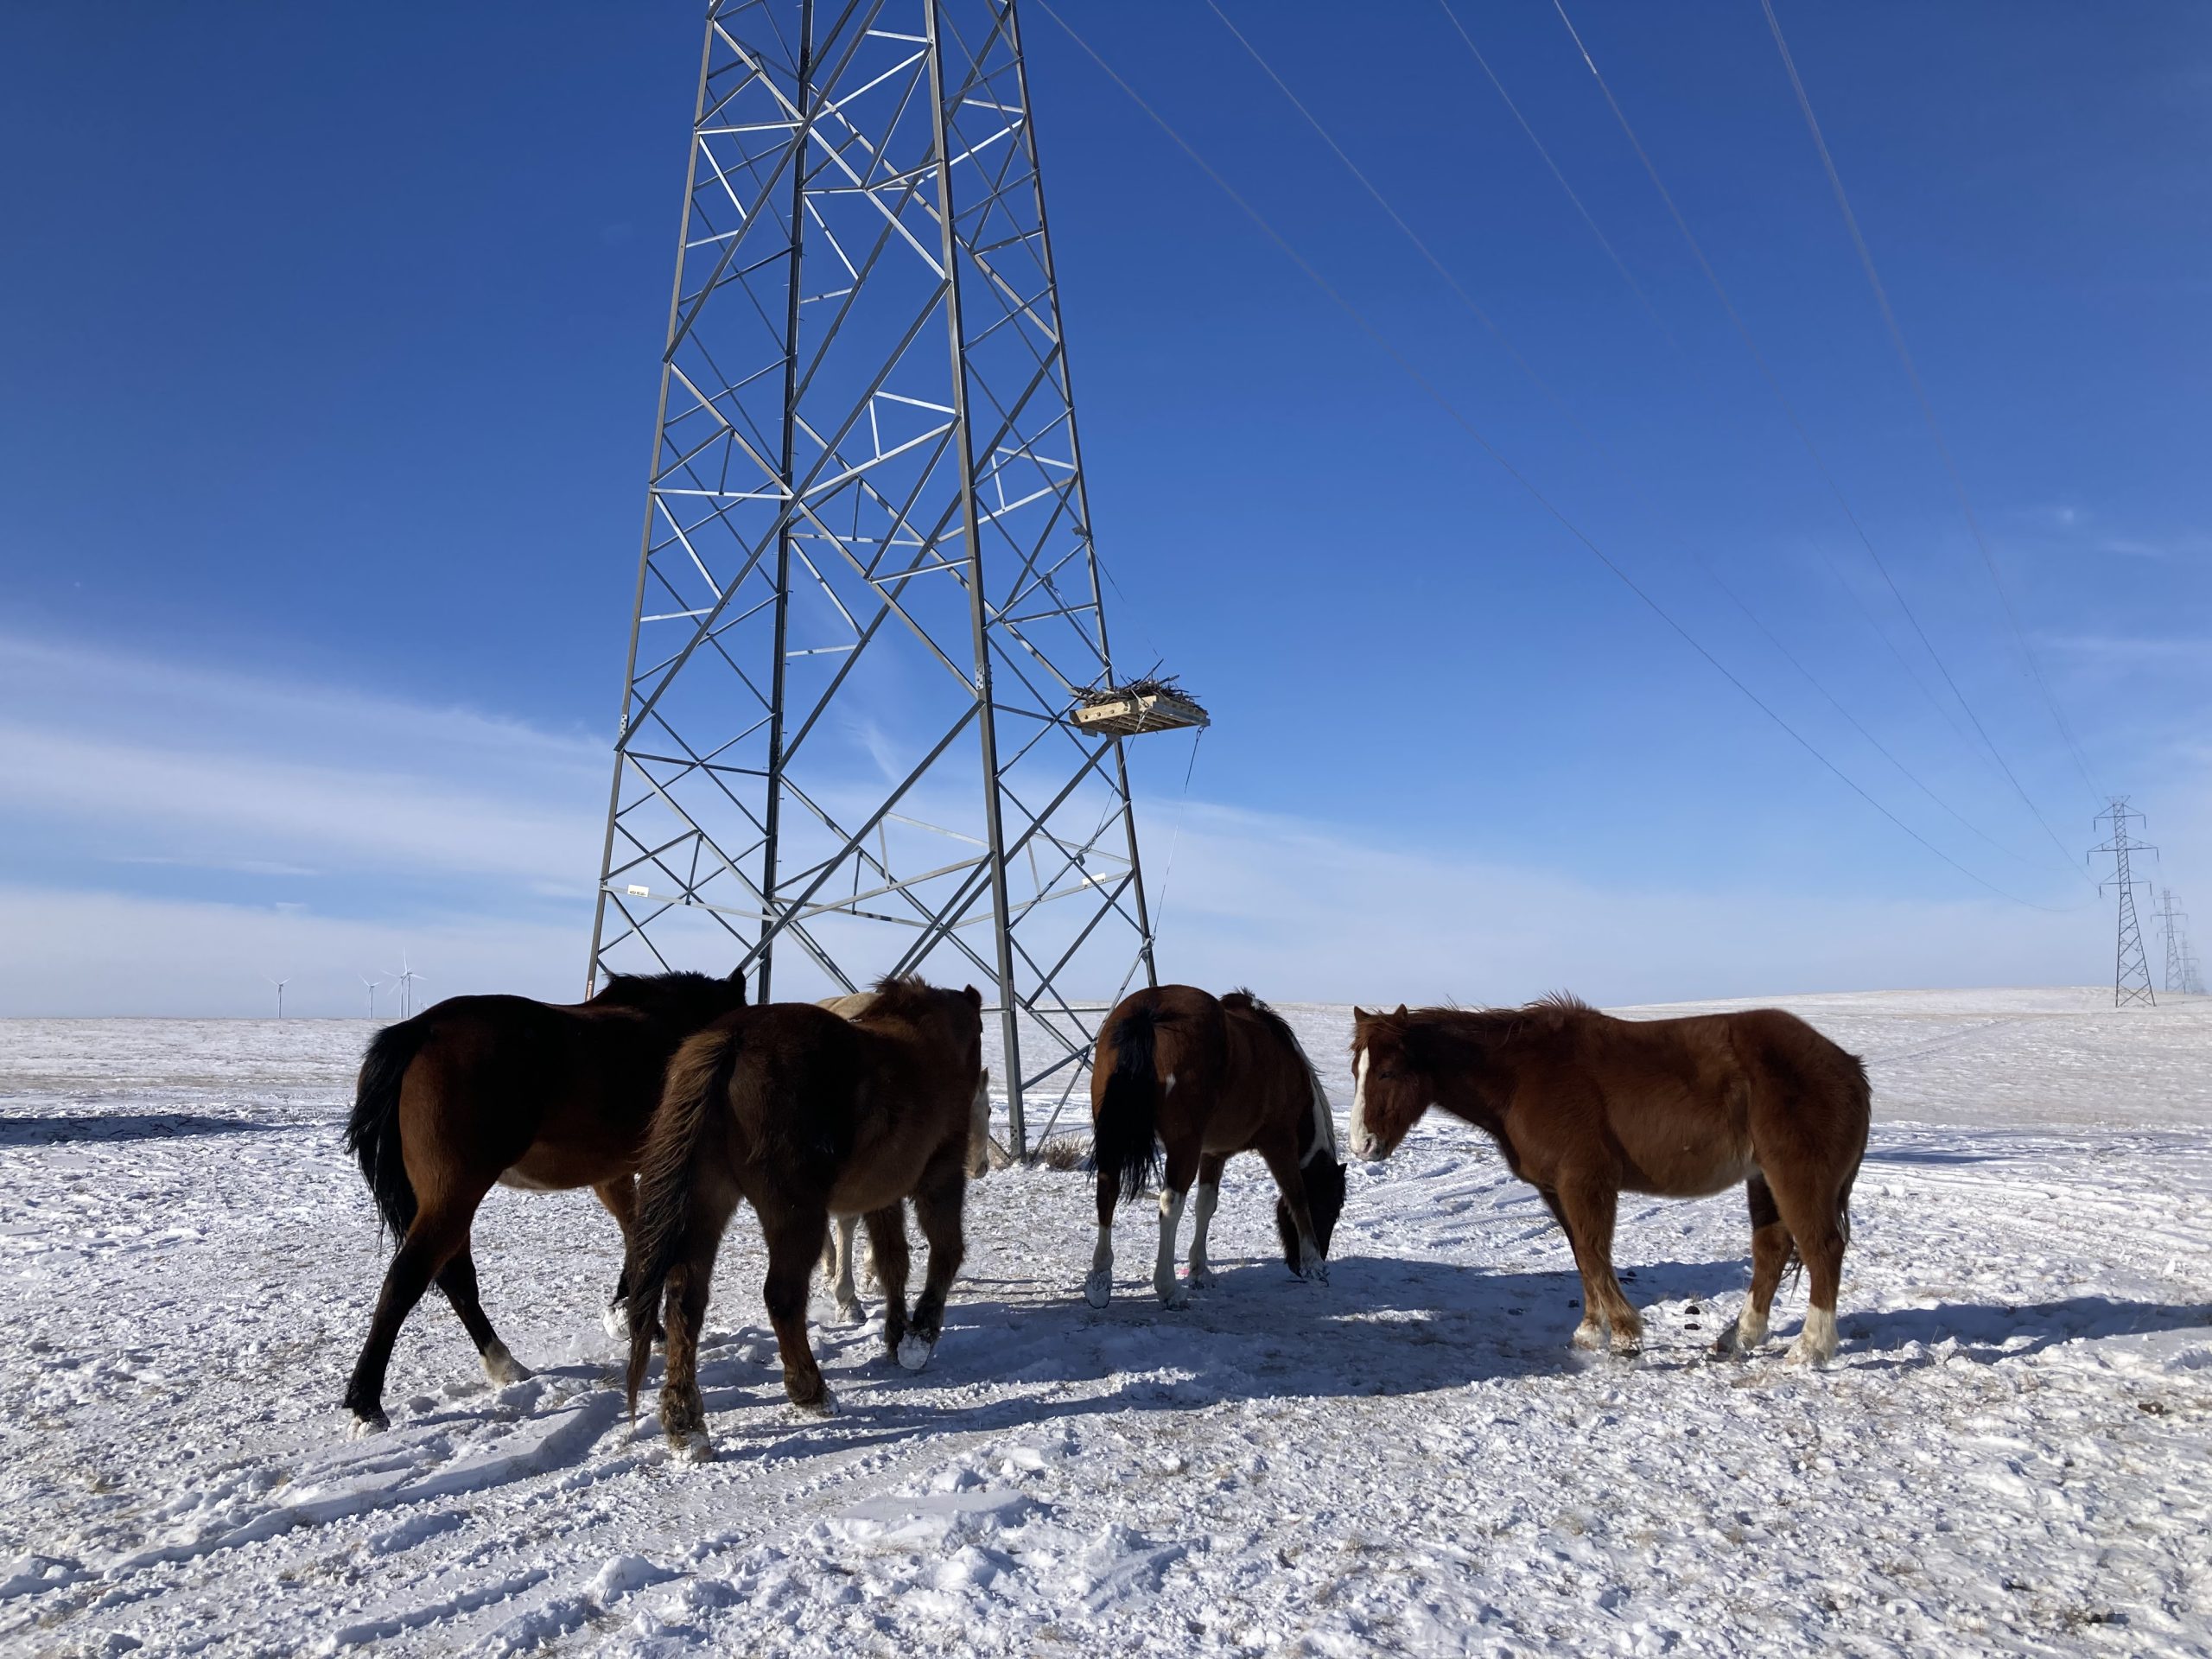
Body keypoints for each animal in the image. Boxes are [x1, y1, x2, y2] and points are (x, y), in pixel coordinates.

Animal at [338, 969, 752, 1433]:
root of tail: (422, 1028)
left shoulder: (614, 1176)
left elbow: (635, 1236)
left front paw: (629, 1318)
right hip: (454, 1195)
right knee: (406, 1279)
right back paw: (367, 1402)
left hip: (443, 1199)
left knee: (454, 1277)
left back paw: (504, 1365)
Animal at [619, 982, 973, 1459]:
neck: (931, 1040)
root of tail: (731, 1042)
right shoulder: (940, 1173)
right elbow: (945, 1250)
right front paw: (921, 1333)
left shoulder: (883, 1194)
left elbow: (892, 1261)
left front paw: (898, 1334)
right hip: (794, 1213)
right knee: (782, 1296)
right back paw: (811, 1390)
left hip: (707, 1201)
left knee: (685, 1299)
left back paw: (686, 1422)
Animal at [1079, 986, 1336, 1309]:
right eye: (1332, 1208)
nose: (1320, 1253)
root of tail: (1149, 1013)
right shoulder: (1279, 1142)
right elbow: (1297, 1195)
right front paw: (1315, 1265)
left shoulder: (1213, 1153)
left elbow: (1206, 1205)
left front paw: (1200, 1271)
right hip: (1182, 1145)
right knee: (1170, 1205)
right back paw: (1168, 1289)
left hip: (1114, 1135)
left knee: (1107, 1191)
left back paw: (1100, 1279)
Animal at [1344, 1000, 1866, 1362]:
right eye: (1356, 1071)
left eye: (1387, 1072)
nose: (1361, 1146)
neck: (1522, 1076)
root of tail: (1848, 1066)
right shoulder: (1555, 1189)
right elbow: (1582, 1253)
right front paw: (1591, 1331)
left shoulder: (1584, 1181)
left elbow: (1595, 1252)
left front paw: (1625, 1334)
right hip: (1763, 1180)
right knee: (1772, 1251)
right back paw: (1739, 1337)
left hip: (1796, 1178)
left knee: (1822, 1248)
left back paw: (1811, 1348)